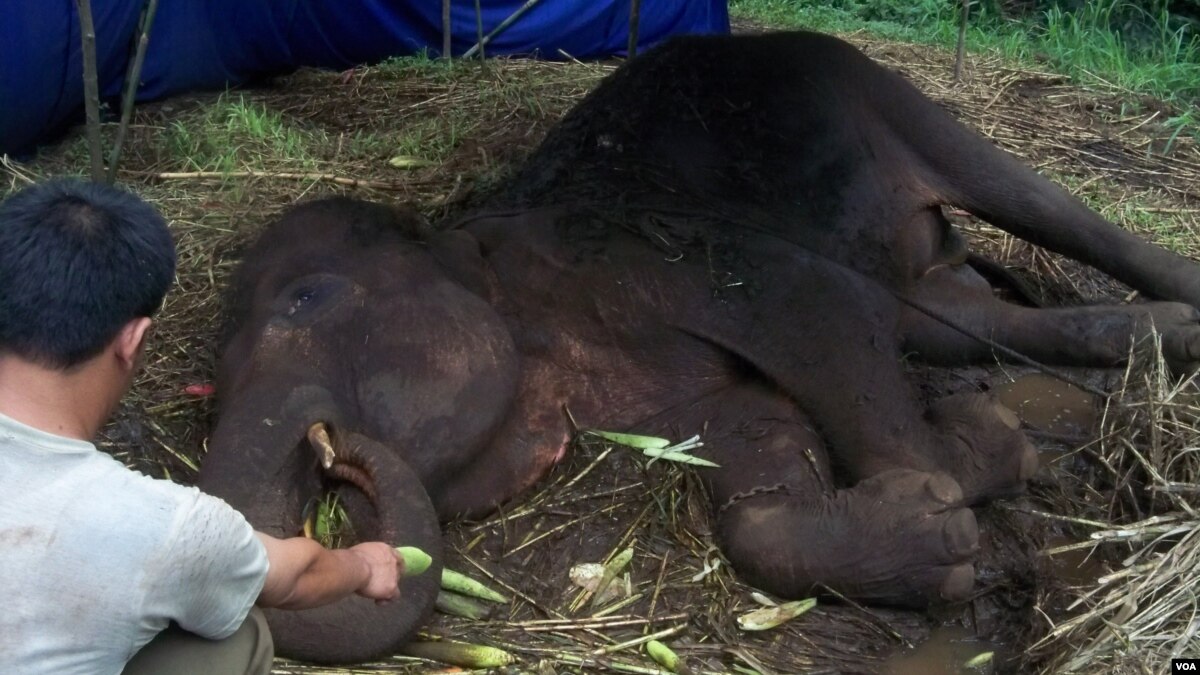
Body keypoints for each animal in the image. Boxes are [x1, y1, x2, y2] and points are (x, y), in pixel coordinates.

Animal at [196, 31, 1200, 662]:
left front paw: (971, 478)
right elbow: (754, 463)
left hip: (881, 91)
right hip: (923, 267)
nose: (341, 462)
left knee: (1034, 204)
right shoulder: (669, 395)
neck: (477, 249)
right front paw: (954, 495)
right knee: (950, 314)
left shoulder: (679, 262)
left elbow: (830, 315)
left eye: (306, 299)